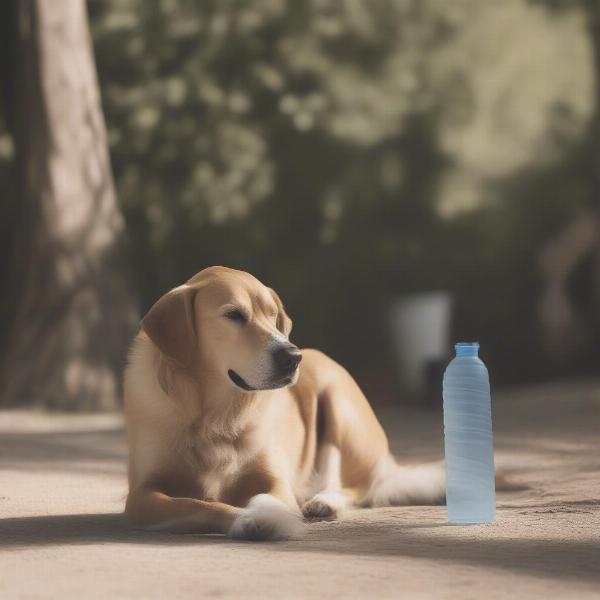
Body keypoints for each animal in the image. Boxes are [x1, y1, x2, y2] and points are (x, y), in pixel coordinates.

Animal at [125, 266, 446, 540]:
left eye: (272, 315)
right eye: (234, 314)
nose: (292, 356)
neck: (216, 414)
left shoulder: (275, 480)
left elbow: (269, 497)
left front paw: (268, 515)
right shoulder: (141, 495)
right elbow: (198, 504)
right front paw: (248, 518)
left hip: (336, 399)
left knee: (355, 485)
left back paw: (325, 501)